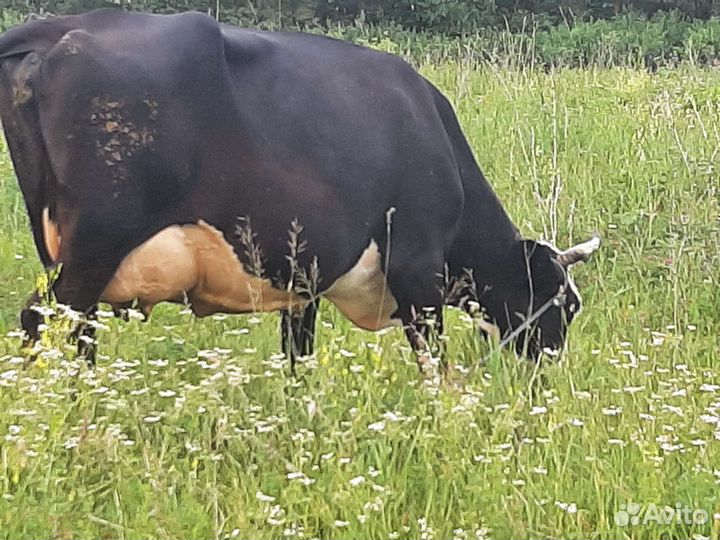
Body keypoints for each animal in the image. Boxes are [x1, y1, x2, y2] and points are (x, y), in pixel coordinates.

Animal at [0, 9, 599, 370]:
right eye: (562, 304)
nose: (548, 368)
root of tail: (62, 27)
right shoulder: (417, 268)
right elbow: (436, 364)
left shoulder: (303, 280)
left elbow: (298, 362)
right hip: (96, 245)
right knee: (50, 321)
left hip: (62, 247)